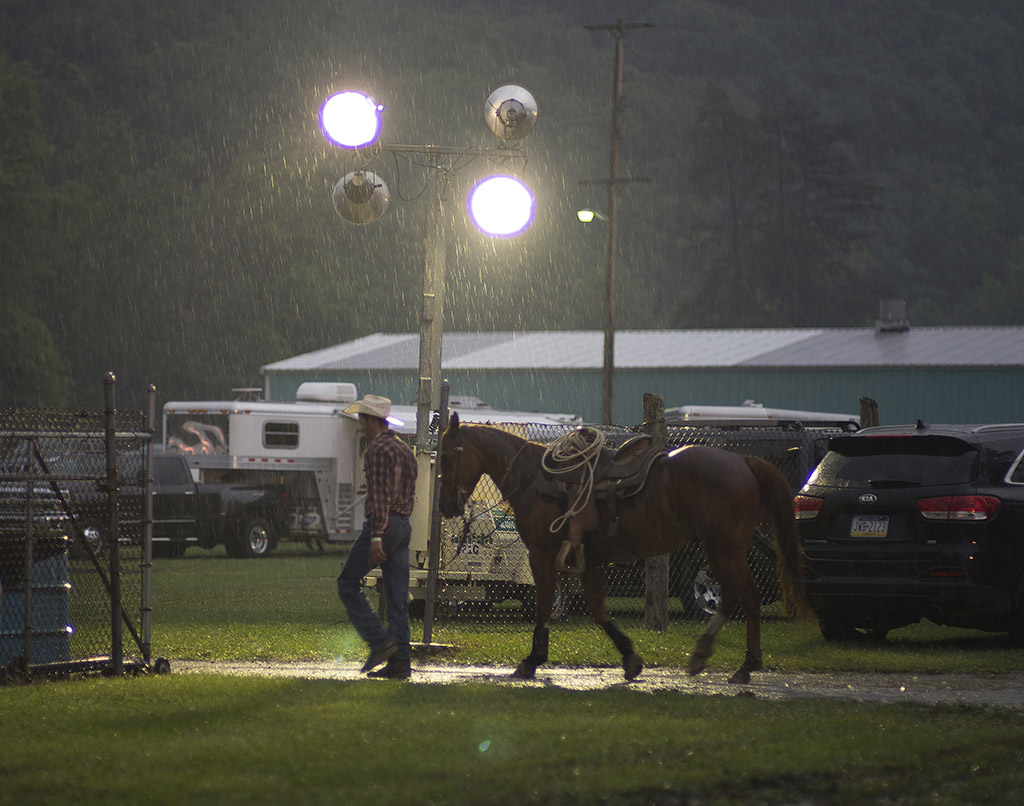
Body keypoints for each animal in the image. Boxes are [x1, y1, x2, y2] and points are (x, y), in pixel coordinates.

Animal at [436, 415, 811, 688]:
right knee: (733, 598)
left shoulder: (541, 556)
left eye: (447, 456)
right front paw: (630, 658)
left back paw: (746, 666)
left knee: (748, 597)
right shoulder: (589, 561)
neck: (533, 478)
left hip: (726, 548)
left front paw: (532, 660)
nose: (445, 506)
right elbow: (599, 610)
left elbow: (543, 606)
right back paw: (703, 654)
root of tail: (744, 461)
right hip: (716, 547)